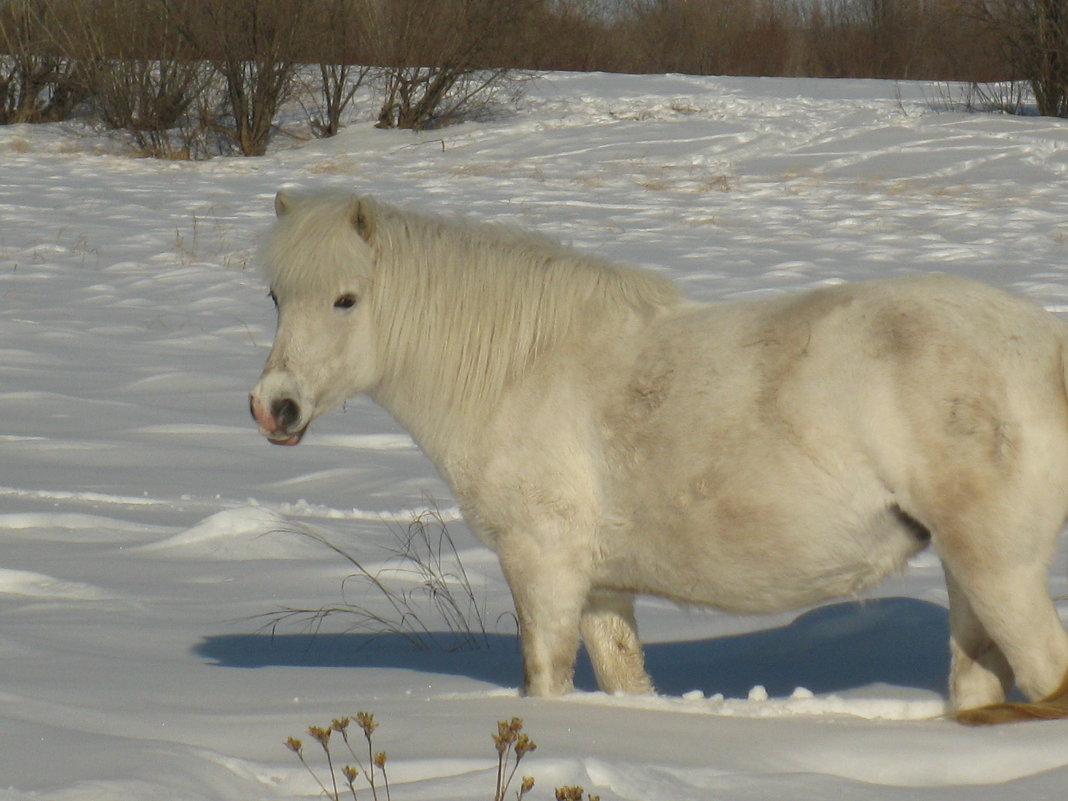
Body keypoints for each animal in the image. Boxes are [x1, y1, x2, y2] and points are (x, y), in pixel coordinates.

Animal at [252, 194, 1068, 726]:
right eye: (276, 296)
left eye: (346, 300)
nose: (274, 407)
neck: (523, 371)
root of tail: (1045, 345)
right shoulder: (603, 590)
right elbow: (624, 680)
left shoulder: (543, 565)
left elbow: (544, 681)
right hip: (967, 576)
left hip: (999, 568)